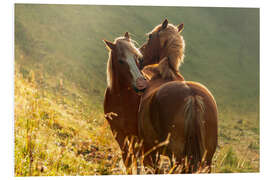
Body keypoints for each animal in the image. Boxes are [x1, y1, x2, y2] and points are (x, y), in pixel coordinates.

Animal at [103, 32, 147, 172]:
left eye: (138, 58)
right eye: (121, 61)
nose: (141, 85)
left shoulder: (138, 136)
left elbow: (137, 159)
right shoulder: (118, 132)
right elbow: (127, 158)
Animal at [138, 19, 218, 172]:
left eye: (150, 36)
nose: (139, 58)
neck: (165, 74)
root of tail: (193, 97)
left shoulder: (150, 148)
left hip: (178, 156)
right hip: (206, 160)